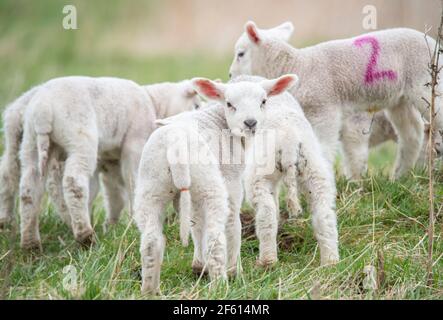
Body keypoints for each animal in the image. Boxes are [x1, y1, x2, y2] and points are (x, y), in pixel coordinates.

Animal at [0, 76, 201, 249]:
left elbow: (115, 195)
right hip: (79, 137)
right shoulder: (134, 144)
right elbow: (133, 181)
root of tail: (43, 108)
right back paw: (84, 235)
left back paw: (28, 242)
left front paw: (113, 225)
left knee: (24, 183)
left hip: (30, 142)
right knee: (72, 182)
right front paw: (132, 219)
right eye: (197, 105)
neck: (153, 103)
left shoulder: (110, 161)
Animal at [133, 74, 298, 294]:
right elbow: (232, 225)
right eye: (229, 104)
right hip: (210, 185)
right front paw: (234, 270)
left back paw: (150, 290)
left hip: (152, 185)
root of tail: (175, 144)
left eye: (263, 101)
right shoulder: (231, 180)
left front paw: (198, 266)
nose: (250, 123)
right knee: (215, 237)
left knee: (151, 240)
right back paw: (221, 285)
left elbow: (196, 225)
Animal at [229, 21, 443, 179]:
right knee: (412, 132)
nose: (230, 75)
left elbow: (326, 148)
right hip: (400, 99)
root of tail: (435, 44)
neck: (299, 66)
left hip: (425, 83)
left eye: (240, 54)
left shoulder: (325, 109)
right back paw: (401, 177)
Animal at [245, 76, 338, 266]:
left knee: (266, 213)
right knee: (324, 212)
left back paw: (267, 261)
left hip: (260, 174)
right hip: (314, 169)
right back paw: (330, 261)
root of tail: (289, 140)